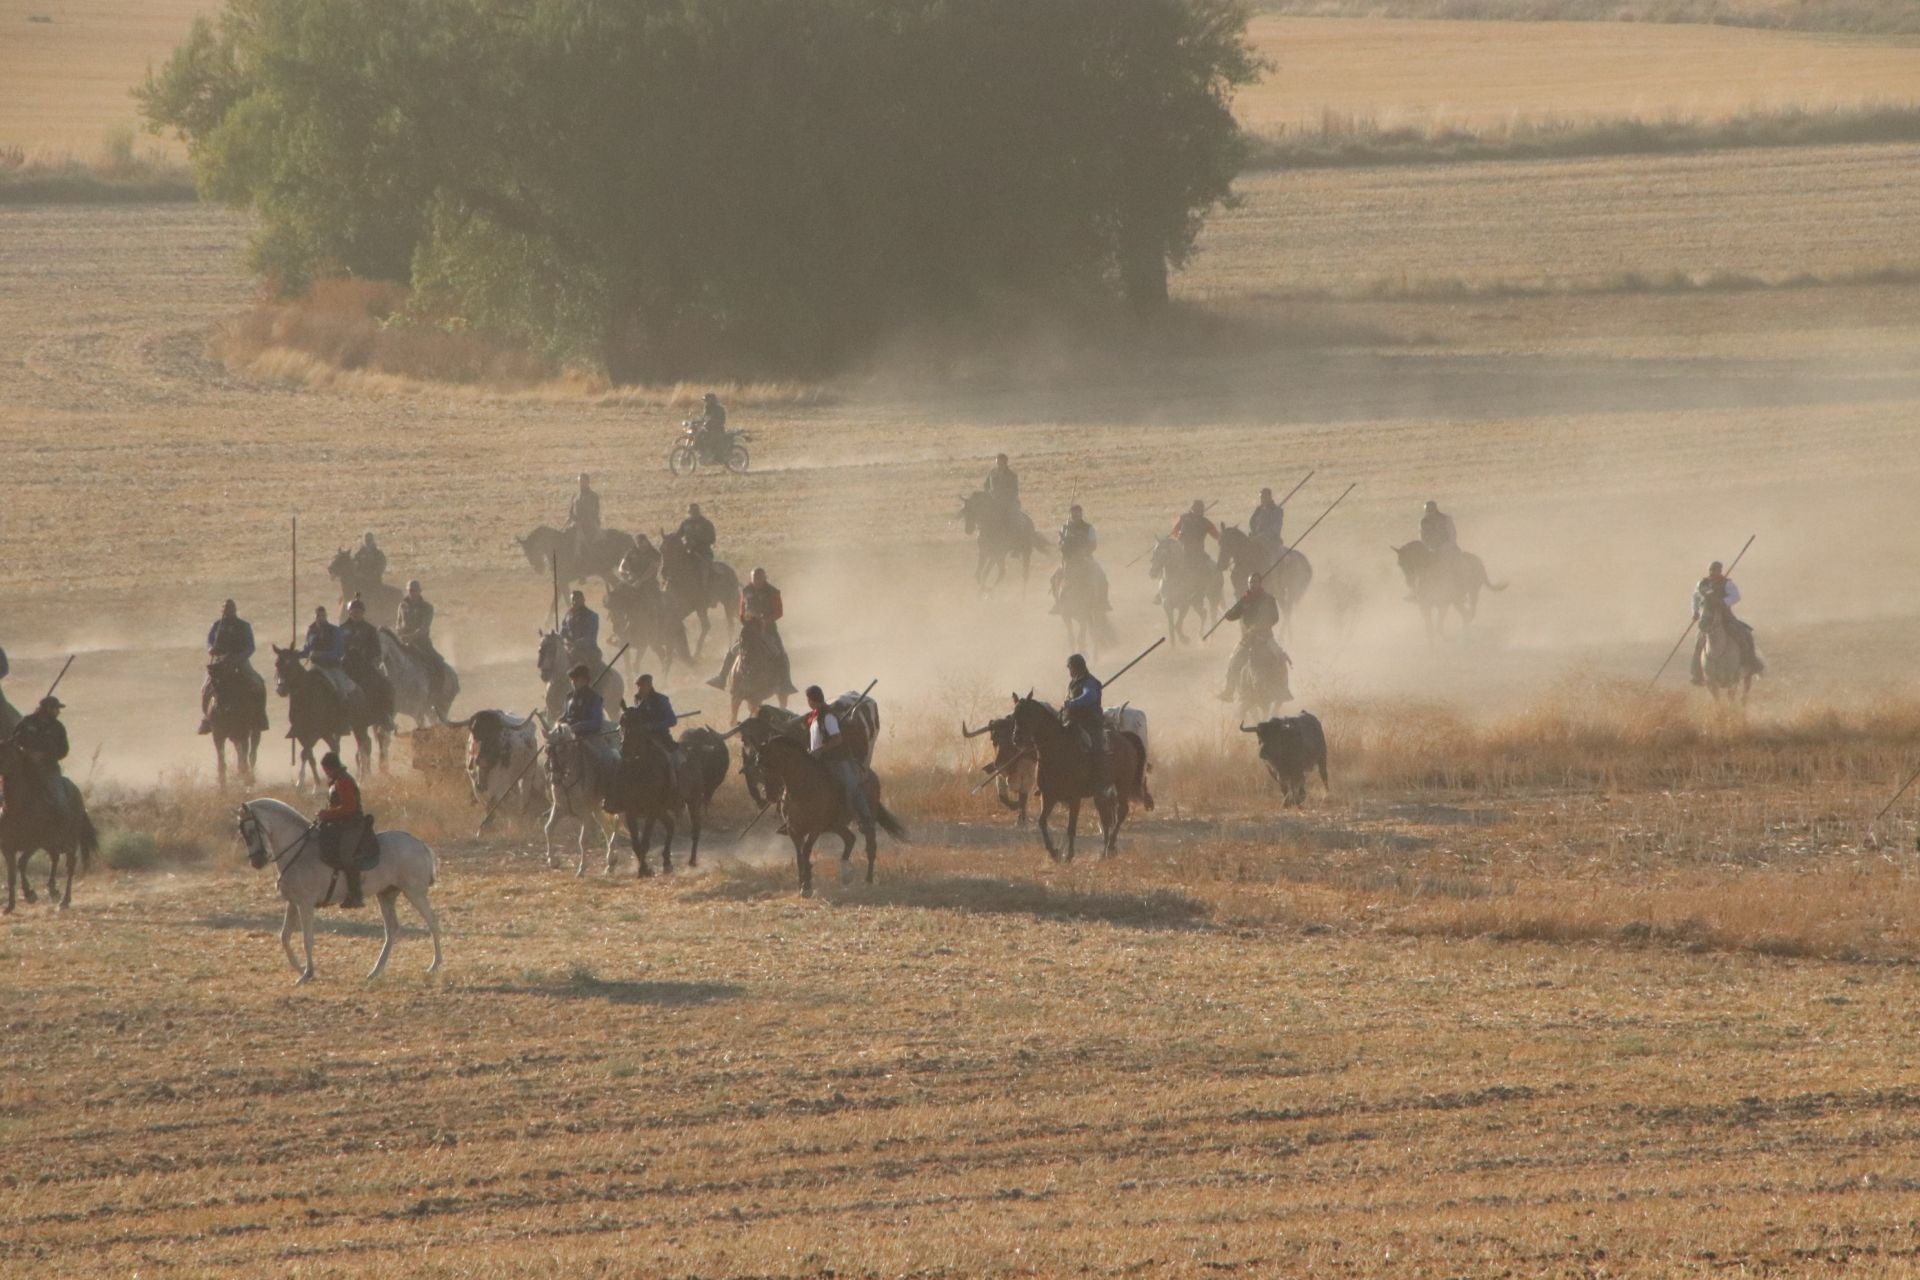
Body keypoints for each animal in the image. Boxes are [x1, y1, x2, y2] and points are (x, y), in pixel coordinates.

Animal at [0, 740, 96, 909]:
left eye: (7, 753)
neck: (17, 807)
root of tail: (76, 792)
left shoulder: (34, 843)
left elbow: (21, 863)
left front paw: (30, 895)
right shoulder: (6, 847)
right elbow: (11, 874)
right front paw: (10, 905)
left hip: (69, 841)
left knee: (70, 865)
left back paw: (64, 901)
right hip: (52, 843)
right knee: (55, 858)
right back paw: (53, 890)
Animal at [235, 794, 441, 990]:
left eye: (251, 830)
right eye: (242, 832)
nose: (256, 862)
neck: (299, 852)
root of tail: (420, 844)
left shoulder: (305, 904)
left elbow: (307, 939)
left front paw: (307, 974)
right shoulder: (293, 903)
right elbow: (284, 937)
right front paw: (301, 969)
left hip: (414, 893)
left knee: (432, 923)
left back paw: (434, 965)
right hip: (386, 895)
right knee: (391, 930)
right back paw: (375, 971)